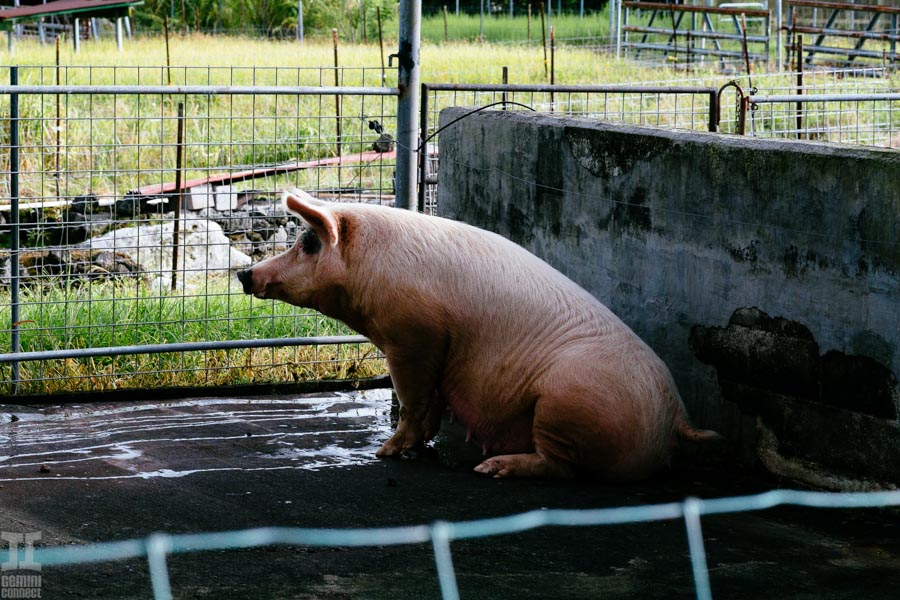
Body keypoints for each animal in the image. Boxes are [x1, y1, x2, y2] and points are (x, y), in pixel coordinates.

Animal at [237, 190, 716, 480]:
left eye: (308, 244)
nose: (245, 274)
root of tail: (676, 418)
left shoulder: (414, 335)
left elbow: (412, 400)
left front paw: (385, 453)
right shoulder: (429, 346)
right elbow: (430, 404)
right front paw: (415, 447)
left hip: (569, 402)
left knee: (559, 466)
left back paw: (490, 469)